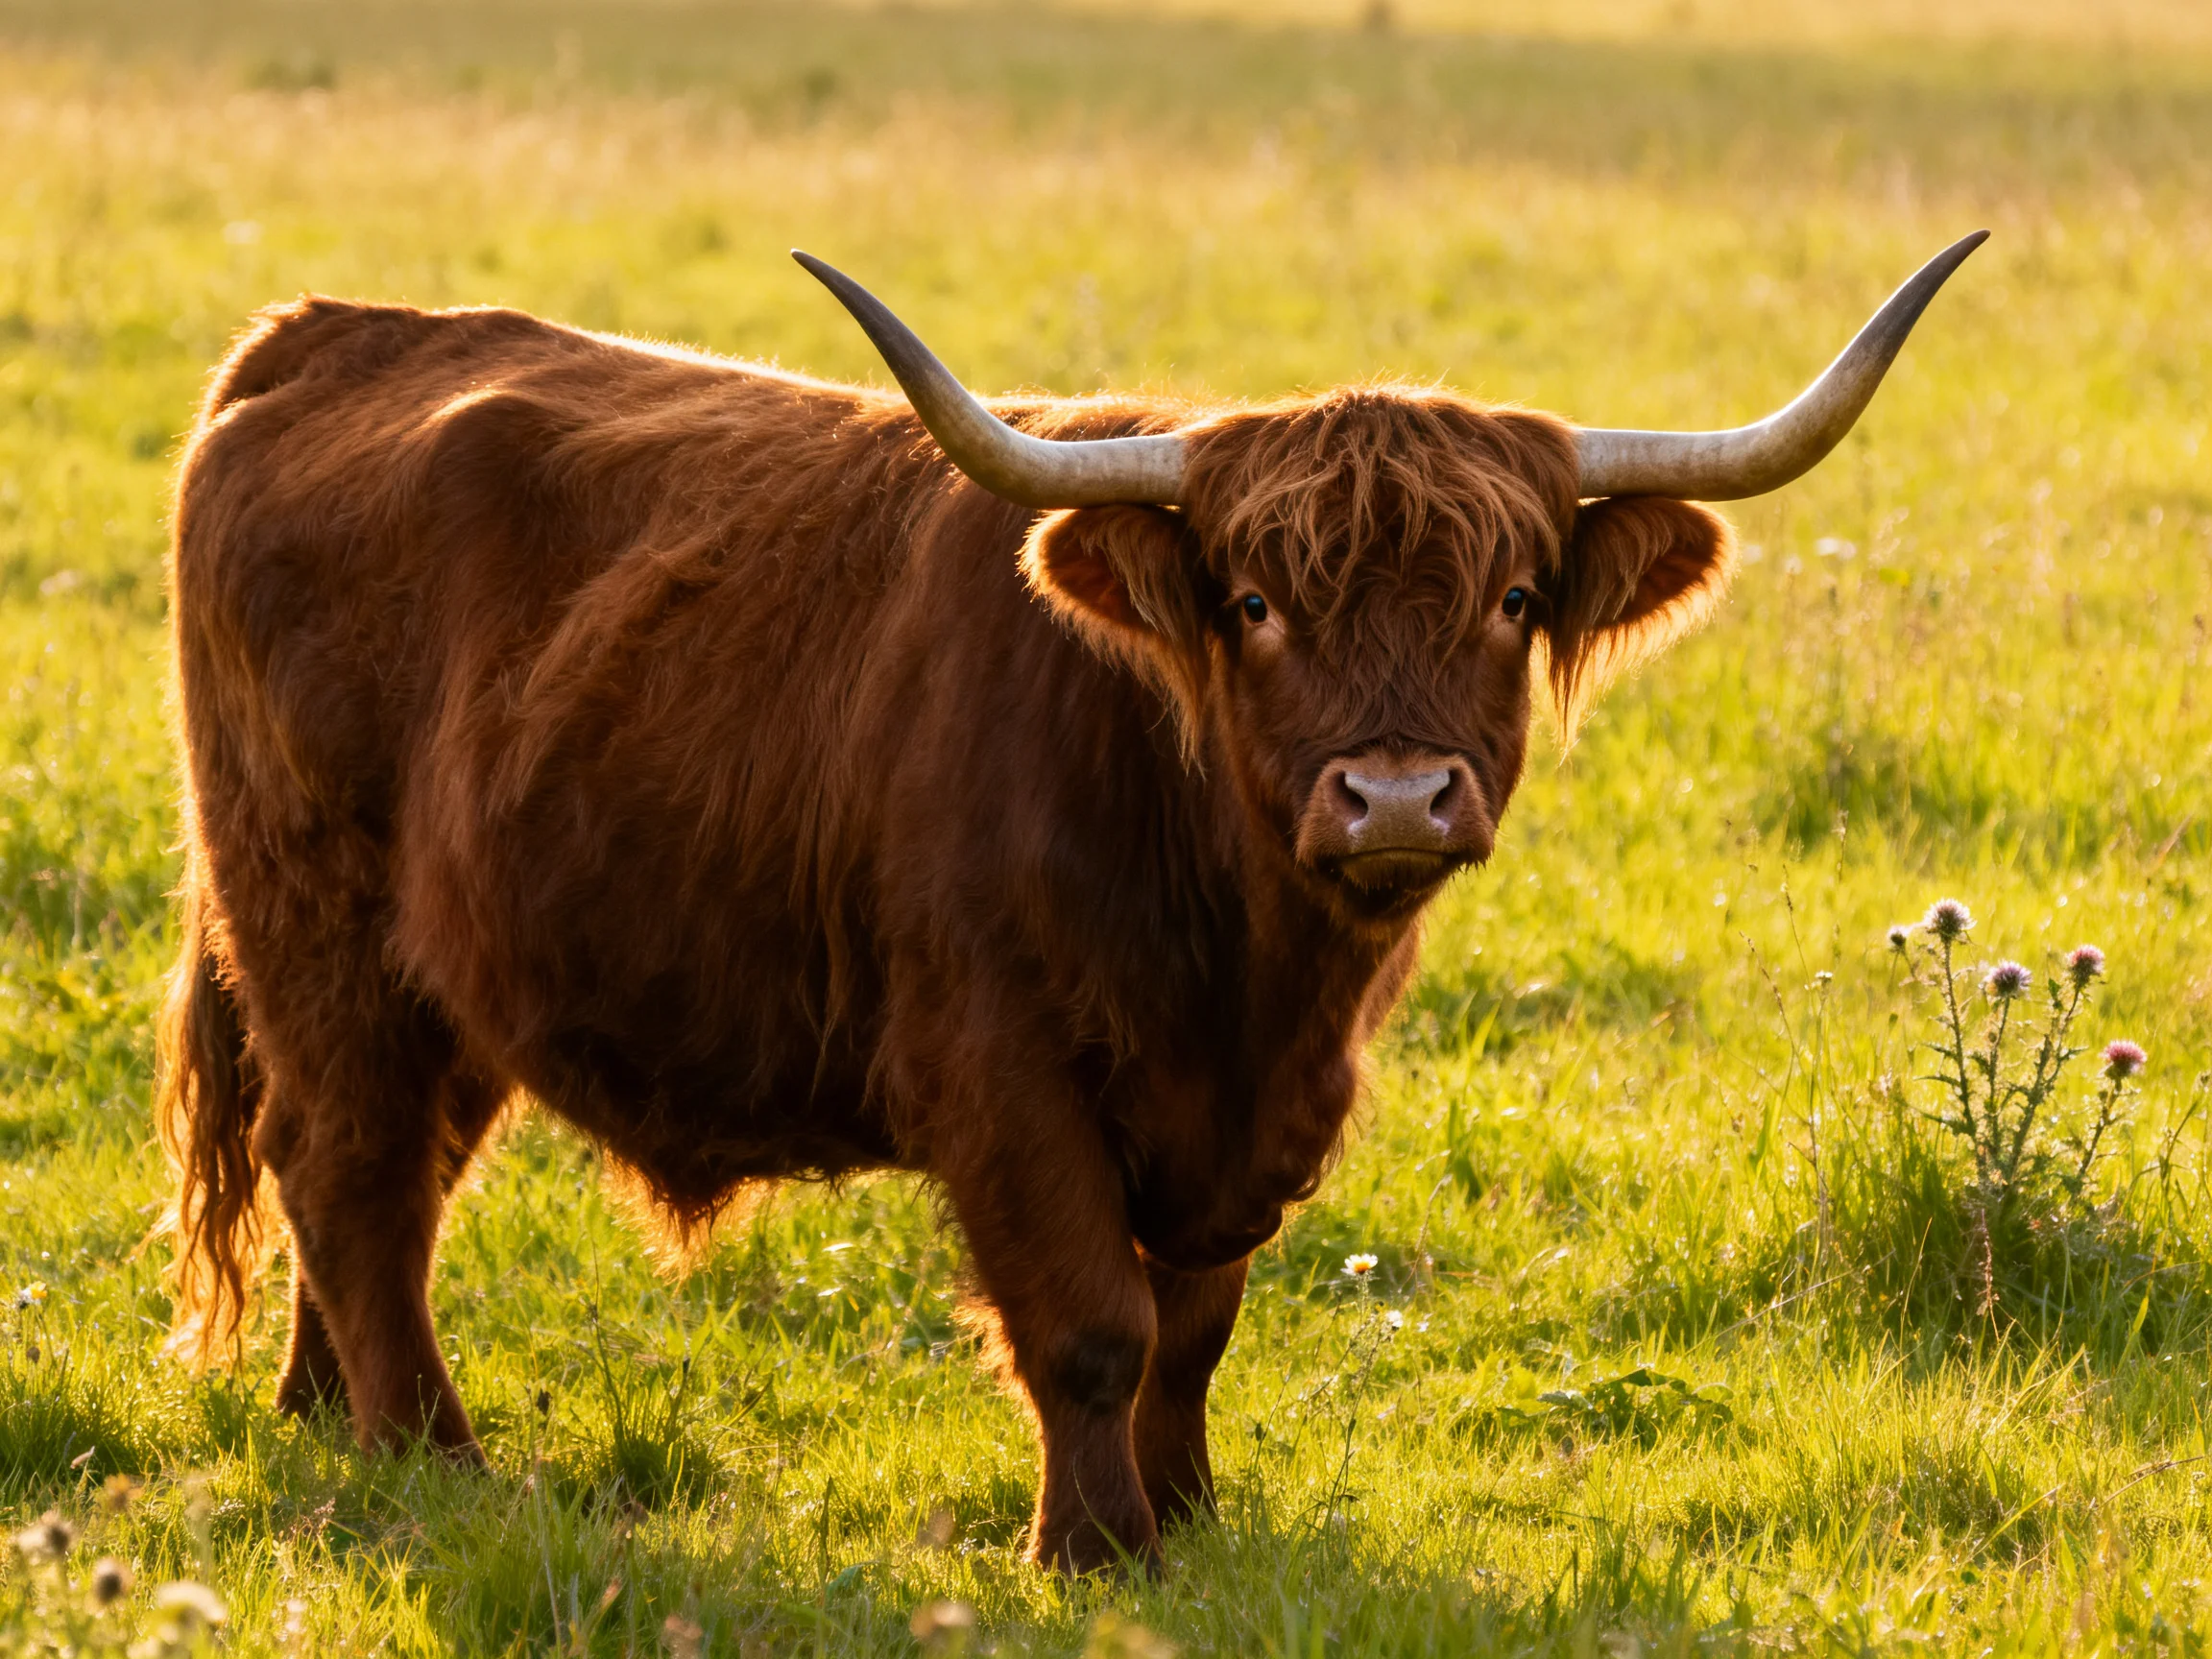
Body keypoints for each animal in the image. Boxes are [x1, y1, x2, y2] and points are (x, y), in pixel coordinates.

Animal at [157, 232, 1982, 1572]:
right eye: (1252, 602)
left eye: (1514, 595)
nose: (1394, 796)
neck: (1245, 971)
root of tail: (325, 333)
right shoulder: (998, 1068)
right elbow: (1092, 1321)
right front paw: (1092, 1552)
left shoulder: (1245, 1119)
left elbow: (1194, 1325)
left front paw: (1188, 1525)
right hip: (315, 921)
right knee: (351, 1168)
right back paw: (433, 1454)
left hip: (450, 976)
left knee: (382, 1179)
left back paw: (330, 1415)